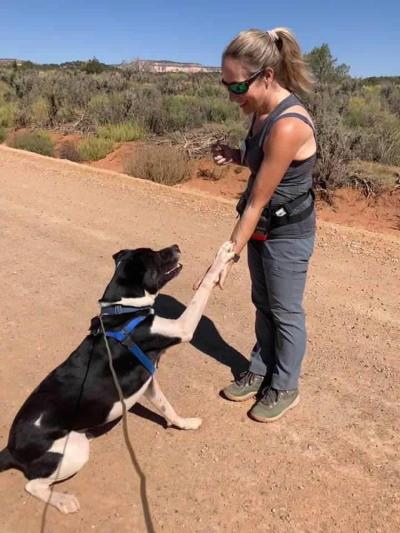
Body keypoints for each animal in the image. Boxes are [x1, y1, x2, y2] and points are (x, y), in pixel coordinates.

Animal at [0, 240, 234, 512]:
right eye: (154, 256)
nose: (176, 245)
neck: (124, 311)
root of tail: (11, 448)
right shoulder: (182, 329)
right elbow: (204, 288)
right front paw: (223, 256)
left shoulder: (148, 379)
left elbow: (167, 407)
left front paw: (185, 424)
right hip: (75, 448)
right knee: (33, 485)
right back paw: (63, 501)